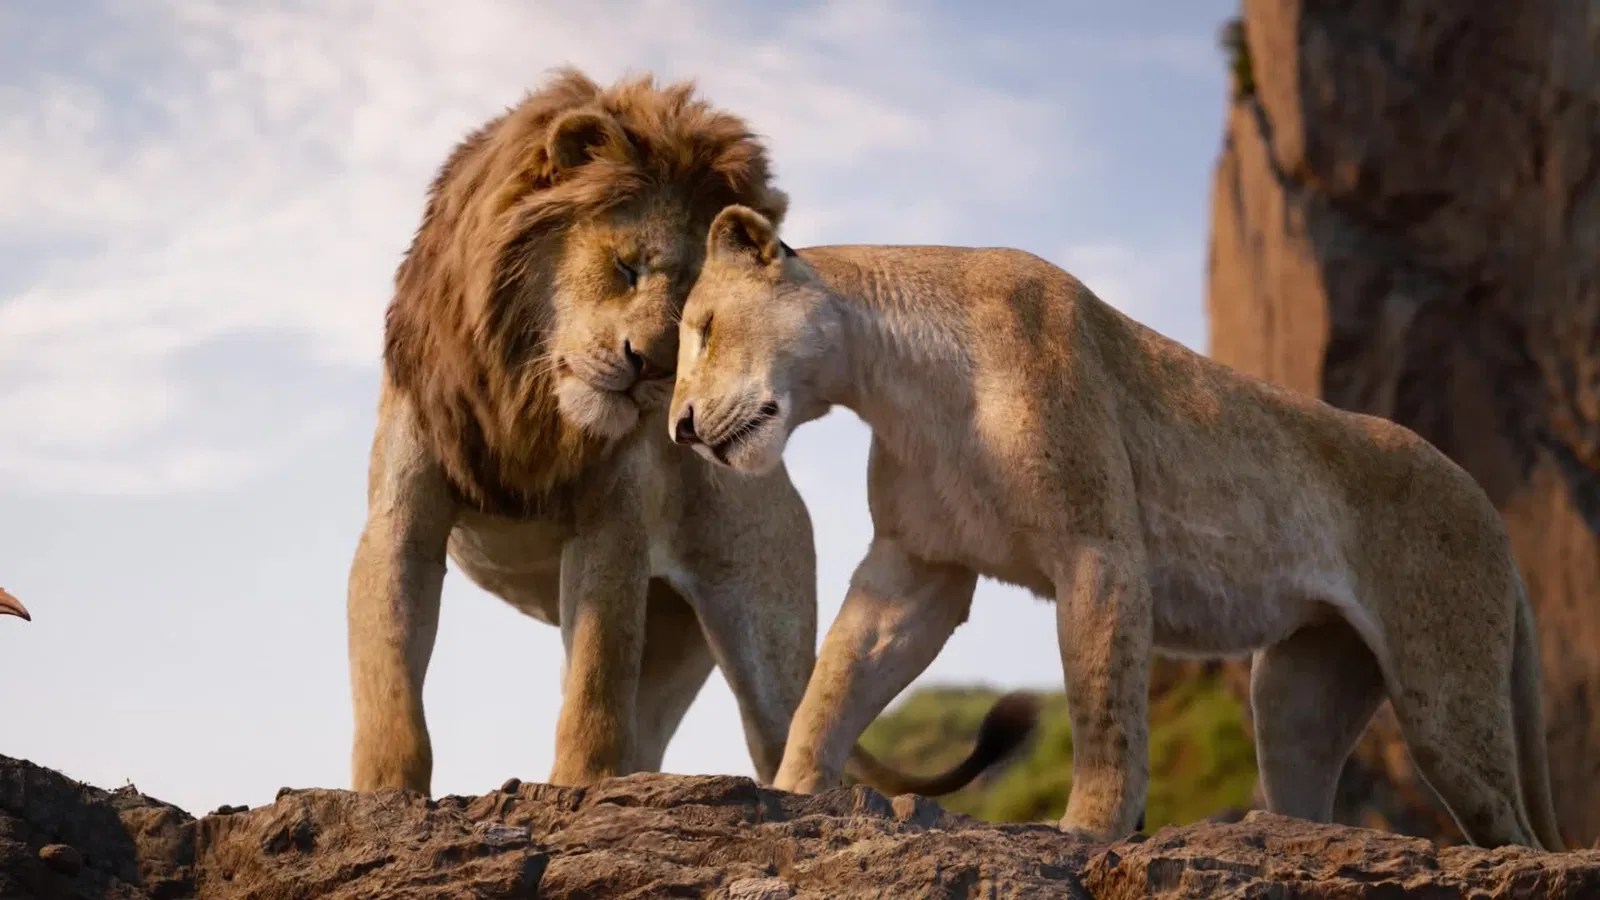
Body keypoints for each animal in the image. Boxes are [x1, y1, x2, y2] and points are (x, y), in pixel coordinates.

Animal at [348, 69, 1033, 798]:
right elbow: (389, 682)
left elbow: (595, 686)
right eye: (627, 267)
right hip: (671, 644)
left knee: (785, 736)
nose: (648, 366)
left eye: (690, 311)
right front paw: (385, 792)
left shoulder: (612, 527)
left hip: (765, 650)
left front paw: (579, 787)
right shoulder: (402, 520)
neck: (529, 400)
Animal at [663, 203, 1566, 851]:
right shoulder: (917, 566)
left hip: (1445, 694)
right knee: (1310, 787)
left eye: (703, 329)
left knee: (1514, 830)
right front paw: (789, 790)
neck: (893, 381)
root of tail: (1492, 513)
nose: (678, 428)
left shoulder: (1099, 550)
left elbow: (1104, 707)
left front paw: (1088, 831)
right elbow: (838, 679)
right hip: (1299, 692)